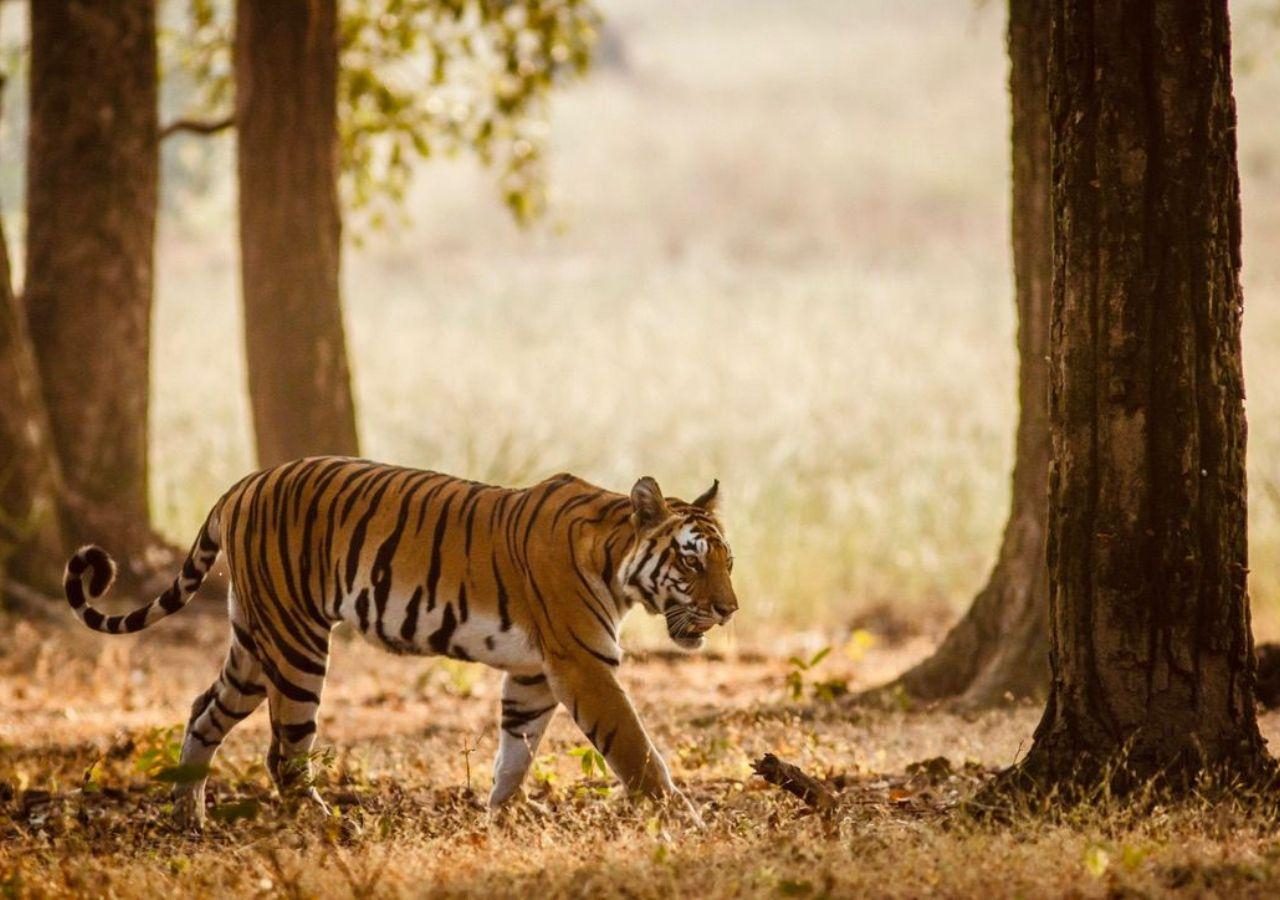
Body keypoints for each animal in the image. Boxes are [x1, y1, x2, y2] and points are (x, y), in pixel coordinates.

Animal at [63, 457, 737, 828]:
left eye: (727, 562)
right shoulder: (583, 665)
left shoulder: (533, 674)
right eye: (692, 560)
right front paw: (684, 821)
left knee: (204, 712)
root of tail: (245, 482)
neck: (614, 556)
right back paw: (326, 825)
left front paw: (500, 819)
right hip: (295, 641)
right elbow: (637, 750)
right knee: (284, 753)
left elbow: (514, 754)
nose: (729, 610)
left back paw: (188, 818)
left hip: (253, 645)